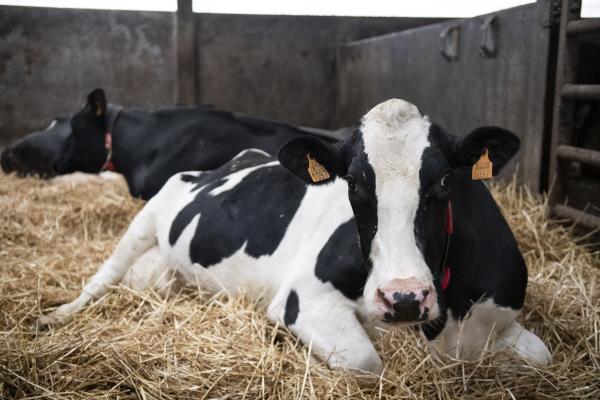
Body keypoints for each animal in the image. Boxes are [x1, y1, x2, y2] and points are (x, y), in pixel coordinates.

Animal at [38, 99, 552, 372]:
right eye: (354, 184)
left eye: (445, 180)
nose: (403, 297)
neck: (444, 324)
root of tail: (238, 158)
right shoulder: (304, 296)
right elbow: (367, 361)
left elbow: (543, 355)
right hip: (146, 217)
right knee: (101, 279)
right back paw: (54, 317)